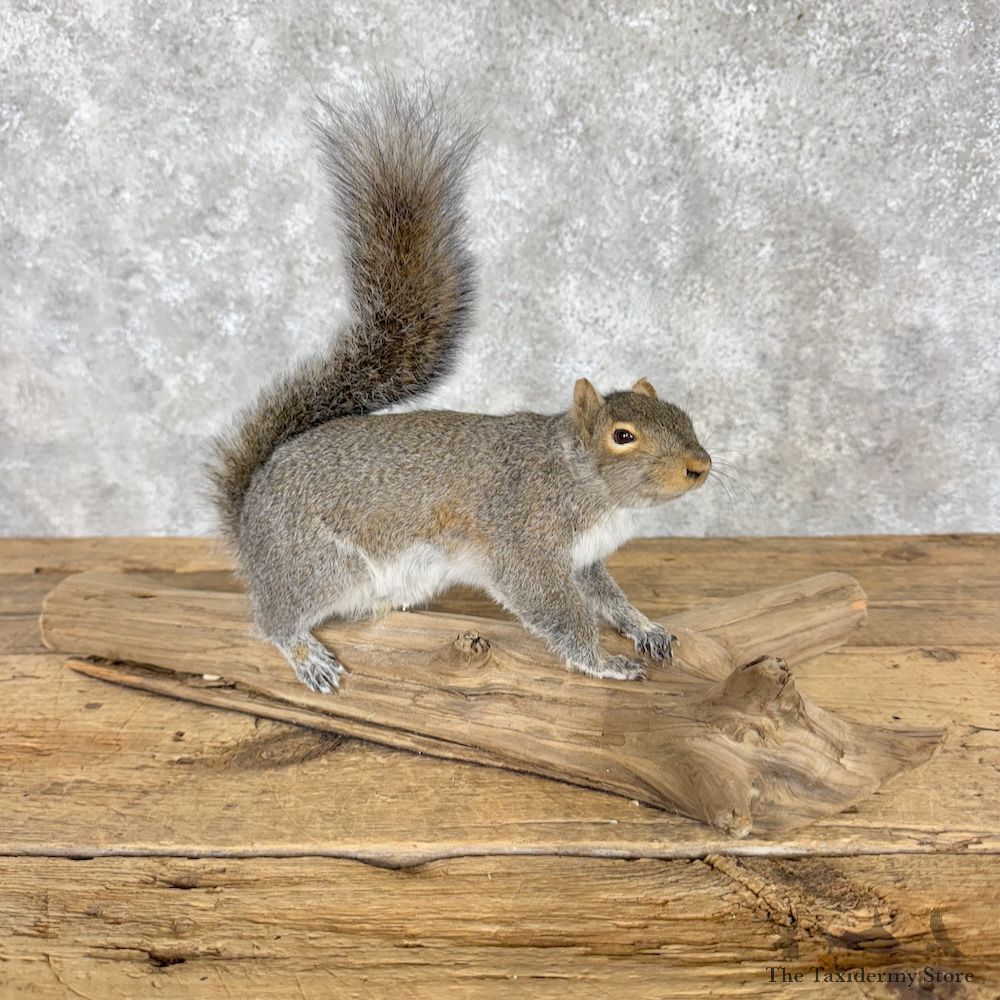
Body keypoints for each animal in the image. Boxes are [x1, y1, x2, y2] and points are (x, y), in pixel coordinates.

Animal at [208, 83, 712, 694]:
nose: (700, 466)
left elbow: (607, 597)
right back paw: (306, 654)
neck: (581, 482)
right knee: (273, 619)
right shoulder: (524, 543)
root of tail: (248, 525)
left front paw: (644, 626)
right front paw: (602, 660)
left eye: (685, 417)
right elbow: (559, 610)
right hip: (318, 564)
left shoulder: (583, 560)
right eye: (622, 436)